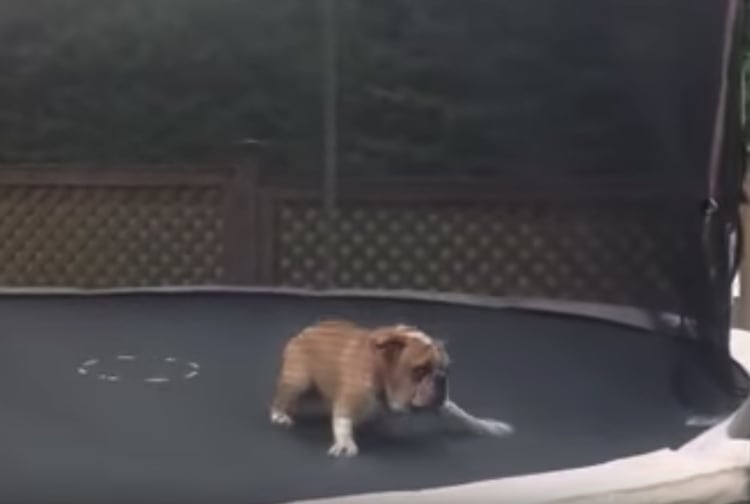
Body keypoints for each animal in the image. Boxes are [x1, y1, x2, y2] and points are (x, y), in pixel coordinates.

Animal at [269, 320, 513, 457]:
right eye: (419, 370)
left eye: (446, 368)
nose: (441, 378)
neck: (380, 368)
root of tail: (303, 333)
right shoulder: (350, 399)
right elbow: (343, 420)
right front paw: (345, 442)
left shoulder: (442, 403)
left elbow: (462, 415)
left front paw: (487, 426)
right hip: (298, 381)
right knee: (282, 399)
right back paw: (280, 414)